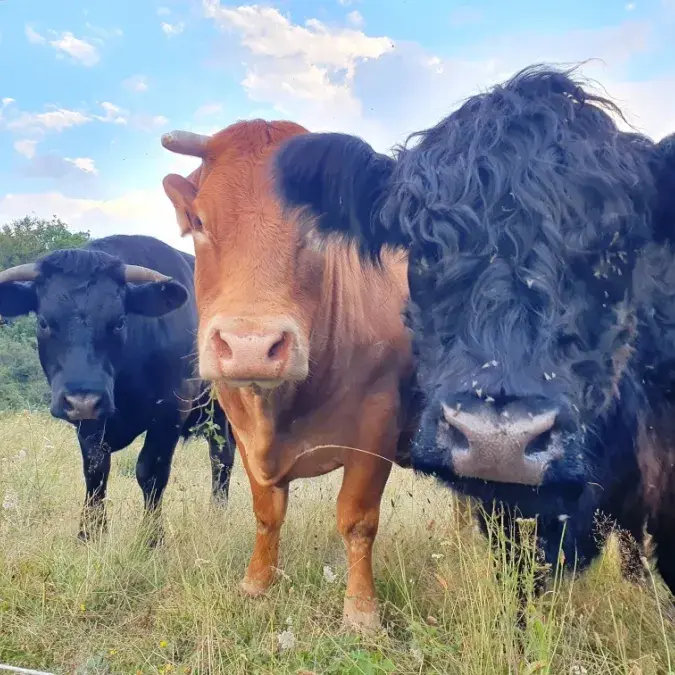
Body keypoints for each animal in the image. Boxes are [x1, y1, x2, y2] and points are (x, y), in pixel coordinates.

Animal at [0, 234, 236, 544]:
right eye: (43, 322)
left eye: (120, 322)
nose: (82, 399)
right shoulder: (90, 421)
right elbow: (96, 469)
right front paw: (90, 533)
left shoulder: (171, 411)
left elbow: (151, 471)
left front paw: (152, 538)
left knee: (224, 458)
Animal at [159, 119, 414, 633]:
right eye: (200, 222)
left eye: (317, 226)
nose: (250, 346)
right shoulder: (238, 422)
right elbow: (266, 512)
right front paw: (257, 583)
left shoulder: (378, 423)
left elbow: (358, 519)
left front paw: (361, 612)